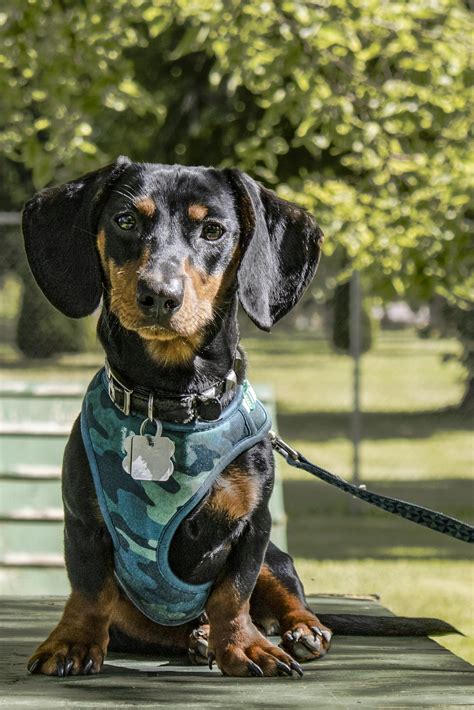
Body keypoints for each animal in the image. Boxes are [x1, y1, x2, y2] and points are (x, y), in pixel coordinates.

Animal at [22, 159, 334, 680]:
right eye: (125, 220)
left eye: (213, 230)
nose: (159, 295)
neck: (170, 401)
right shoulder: (83, 520)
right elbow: (88, 588)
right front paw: (72, 641)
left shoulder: (254, 527)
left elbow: (234, 593)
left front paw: (244, 646)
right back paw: (199, 638)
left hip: (277, 556)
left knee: (283, 590)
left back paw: (299, 629)